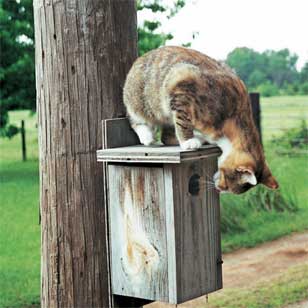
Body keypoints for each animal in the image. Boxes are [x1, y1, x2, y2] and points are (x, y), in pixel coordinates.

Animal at [123, 45, 280, 195]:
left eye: (228, 187)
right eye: (227, 183)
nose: (219, 189)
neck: (233, 118)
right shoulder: (182, 83)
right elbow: (183, 121)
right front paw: (188, 142)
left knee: (166, 136)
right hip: (141, 99)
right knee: (136, 118)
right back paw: (147, 135)